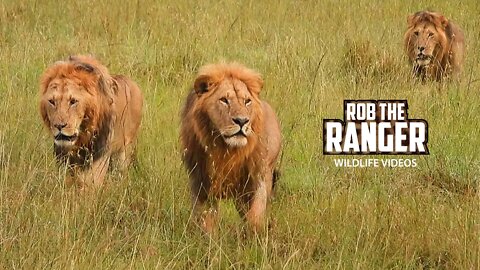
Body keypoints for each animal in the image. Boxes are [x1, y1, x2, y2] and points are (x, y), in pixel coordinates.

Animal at [39, 55, 143, 190]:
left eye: (73, 101)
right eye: (52, 101)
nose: (59, 126)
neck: (81, 140)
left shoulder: (98, 162)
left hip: (124, 151)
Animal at [182, 62, 284, 233]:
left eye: (247, 101)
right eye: (224, 100)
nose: (242, 121)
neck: (226, 150)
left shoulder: (259, 175)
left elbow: (255, 215)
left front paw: (254, 233)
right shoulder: (200, 181)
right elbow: (205, 219)